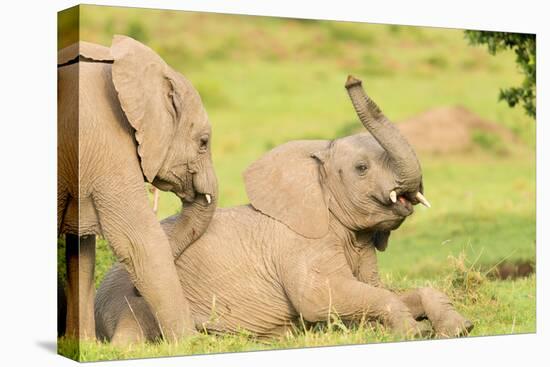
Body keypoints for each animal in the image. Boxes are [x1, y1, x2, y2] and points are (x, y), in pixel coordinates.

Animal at [57, 36, 218, 340]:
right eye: (203, 142)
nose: (133, 292)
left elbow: (81, 250)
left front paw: (85, 344)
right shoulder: (106, 138)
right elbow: (140, 241)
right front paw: (190, 343)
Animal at [96, 76, 474, 344]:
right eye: (362, 168)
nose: (352, 79)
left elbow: (378, 289)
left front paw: (461, 327)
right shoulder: (299, 246)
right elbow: (321, 297)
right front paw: (415, 333)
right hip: (127, 297)